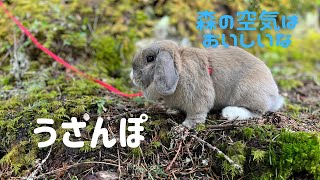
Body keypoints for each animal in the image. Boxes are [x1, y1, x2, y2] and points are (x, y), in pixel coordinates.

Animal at [129, 40, 284, 129]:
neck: (180, 68)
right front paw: (172, 111)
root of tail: (274, 97)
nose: (132, 76)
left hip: (246, 92)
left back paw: (229, 113)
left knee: (257, 112)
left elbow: (197, 114)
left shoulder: (197, 99)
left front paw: (186, 126)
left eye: (150, 58)